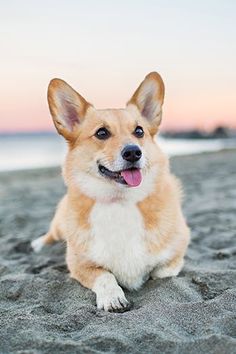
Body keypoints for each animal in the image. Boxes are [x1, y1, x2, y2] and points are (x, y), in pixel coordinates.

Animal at [31, 72, 190, 312]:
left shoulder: (177, 251)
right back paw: (38, 244)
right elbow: (104, 275)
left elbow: (163, 272)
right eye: (102, 133)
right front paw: (113, 298)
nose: (133, 152)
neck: (120, 201)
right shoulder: (79, 264)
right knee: (51, 233)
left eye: (139, 131)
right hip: (60, 225)